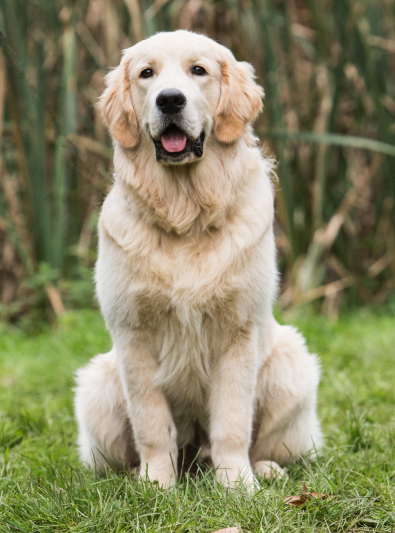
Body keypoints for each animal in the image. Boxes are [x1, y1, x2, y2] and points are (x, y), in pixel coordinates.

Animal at [74, 28, 322, 486]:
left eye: (198, 70)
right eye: (146, 73)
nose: (170, 100)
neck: (184, 216)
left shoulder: (238, 330)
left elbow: (233, 421)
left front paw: (238, 485)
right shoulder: (133, 333)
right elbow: (152, 423)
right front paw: (157, 483)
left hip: (293, 367)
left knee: (267, 442)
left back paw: (263, 469)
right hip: (97, 387)